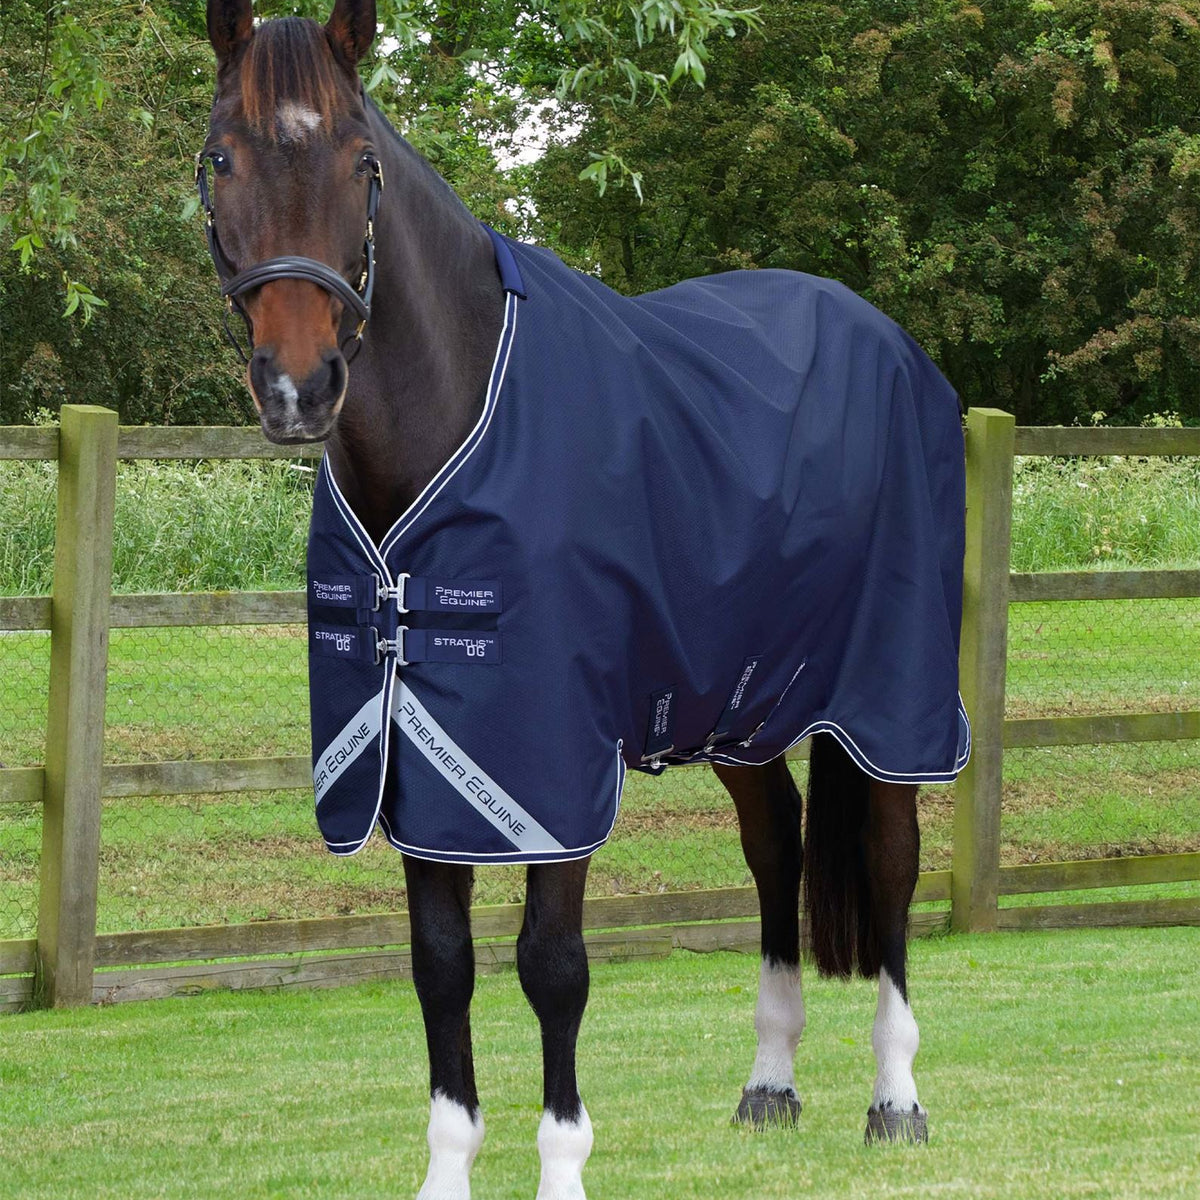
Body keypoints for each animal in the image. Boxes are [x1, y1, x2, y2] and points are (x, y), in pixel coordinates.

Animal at [199, 3, 968, 1196]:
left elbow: (552, 966)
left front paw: (561, 1165)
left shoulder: (547, 769)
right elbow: (441, 967)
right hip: (739, 704)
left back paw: (896, 1099)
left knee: (890, 862)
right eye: (220, 157)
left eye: (362, 162)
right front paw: (448, 1169)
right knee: (777, 849)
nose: (298, 385)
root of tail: (889, 342)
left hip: (892, 696)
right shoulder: (419, 763)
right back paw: (771, 1082)